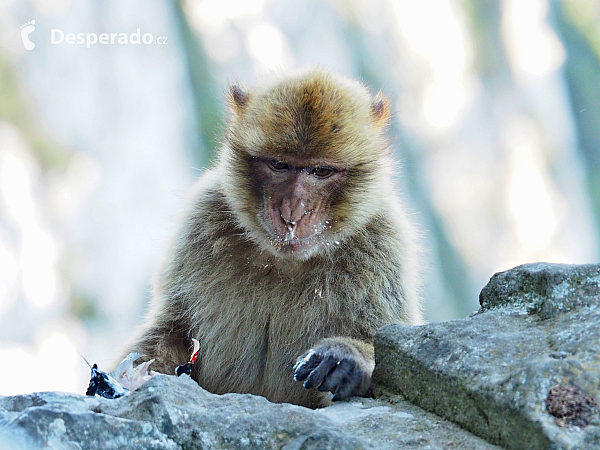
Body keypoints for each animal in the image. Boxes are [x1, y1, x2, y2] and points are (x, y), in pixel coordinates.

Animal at [127, 68, 422, 410]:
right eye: (279, 164)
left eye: (320, 171)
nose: (292, 213)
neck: (284, 260)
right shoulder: (201, 217)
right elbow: (174, 329)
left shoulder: (383, 241)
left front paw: (349, 359)